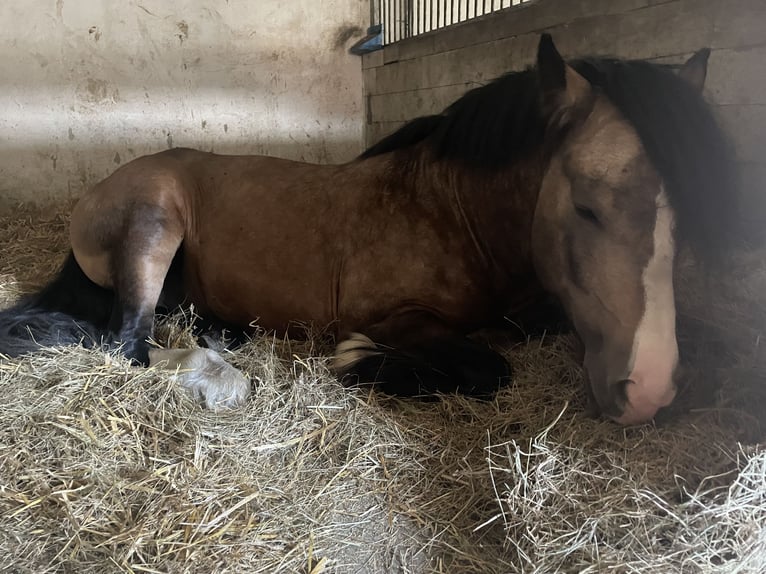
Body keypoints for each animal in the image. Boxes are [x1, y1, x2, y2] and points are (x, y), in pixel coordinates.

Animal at [0, 35, 736, 424]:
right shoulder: (401, 317)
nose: (648, 388)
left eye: (682, 213)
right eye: (584, 207)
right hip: (153, 230)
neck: (452, 212)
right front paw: (356, 357)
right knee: (129, 342)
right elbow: (486, 365)